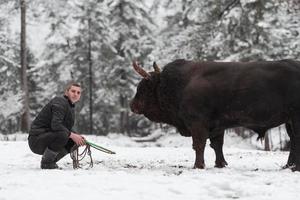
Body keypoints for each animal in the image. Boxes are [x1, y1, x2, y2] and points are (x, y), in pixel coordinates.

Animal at [131, 58, 300, 172]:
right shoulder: (217, 126)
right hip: (289, 121)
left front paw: (198, 165)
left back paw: (294, 167)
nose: (132, 105)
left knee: (296, 140)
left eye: (143, 87)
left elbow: (199, 145)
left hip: (295, 118)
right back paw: (288, 166)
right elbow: (217, 145)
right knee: (293, 141)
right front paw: (221, 164)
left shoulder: (198, 124)